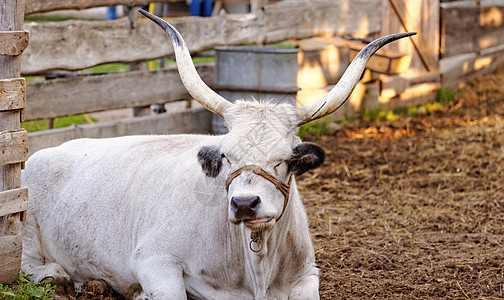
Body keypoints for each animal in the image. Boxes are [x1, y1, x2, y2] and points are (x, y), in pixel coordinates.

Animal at [20, 8, 414, 298]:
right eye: (227, 157)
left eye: (285, 160)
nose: (244, 204)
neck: (256, 266)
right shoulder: (155, 261)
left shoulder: (307, 276)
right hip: (24, 228)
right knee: (29, 265)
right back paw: (59, 276)